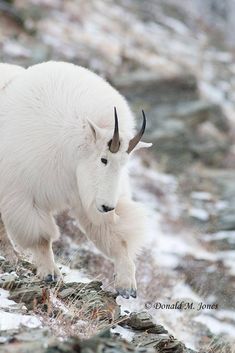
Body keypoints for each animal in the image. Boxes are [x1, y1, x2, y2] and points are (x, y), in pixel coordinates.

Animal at [0, 60, 151, 296]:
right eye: (103, 159)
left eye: (124, 163)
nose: (108, 207)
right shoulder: (24, 195)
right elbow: (41, 237)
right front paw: (50, 273)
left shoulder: (86, 198)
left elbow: (116, 237)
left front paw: (127, 285)